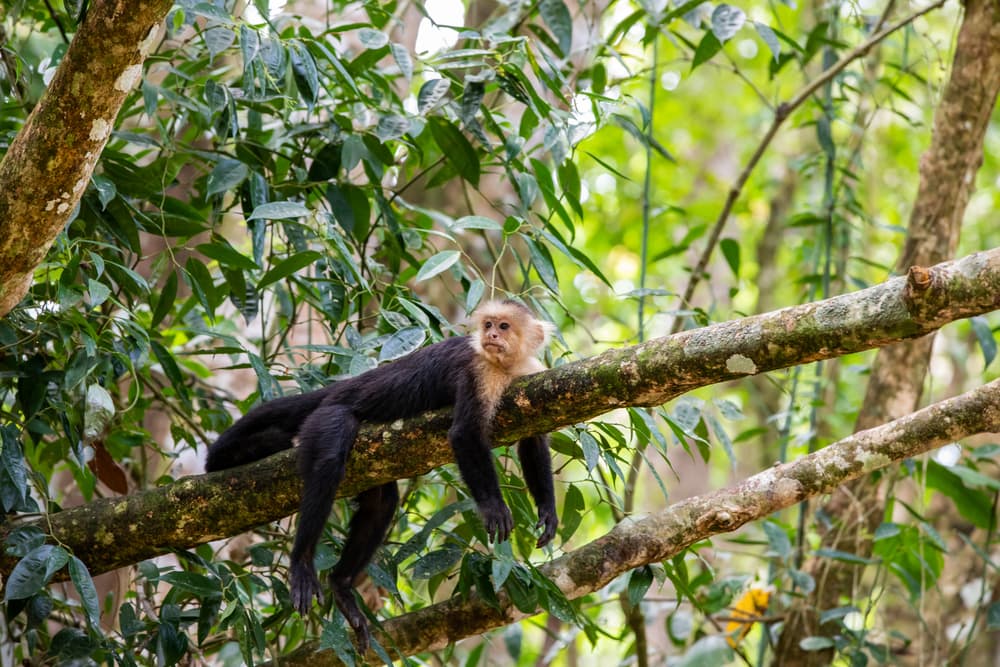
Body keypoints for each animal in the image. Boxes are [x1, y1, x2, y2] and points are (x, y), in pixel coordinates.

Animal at [205, 300, 557, 652]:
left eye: (503, 326)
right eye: (488, 325)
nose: (492, 336)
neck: (504, 365)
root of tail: (339, 387)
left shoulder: (528, 378)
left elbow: (533, 439)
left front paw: (547, 511)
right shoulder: (478, 370)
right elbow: (464, 434)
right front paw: (493, 506)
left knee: (382, 501)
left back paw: (341, 585)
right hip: (325, 417)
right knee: (330, 458)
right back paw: (302, 563)